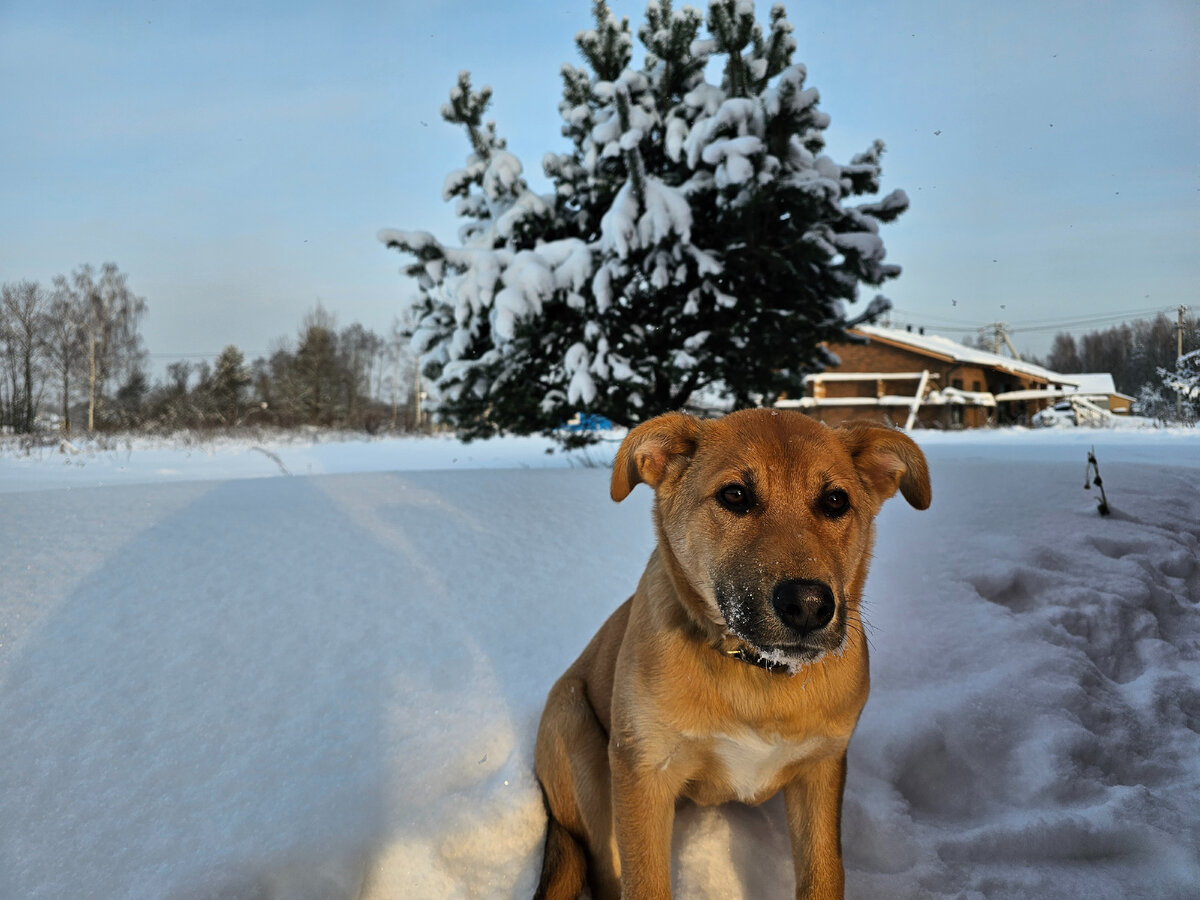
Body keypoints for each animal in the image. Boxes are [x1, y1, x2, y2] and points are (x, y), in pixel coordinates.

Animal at [532, 410, 926, 900]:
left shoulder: (821, 770)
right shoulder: (644, 773)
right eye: (735, 495)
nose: (809, 605)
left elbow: (825, 874)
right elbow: (645, 883)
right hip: (577, 732)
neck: (757, 674)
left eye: (836, 500)